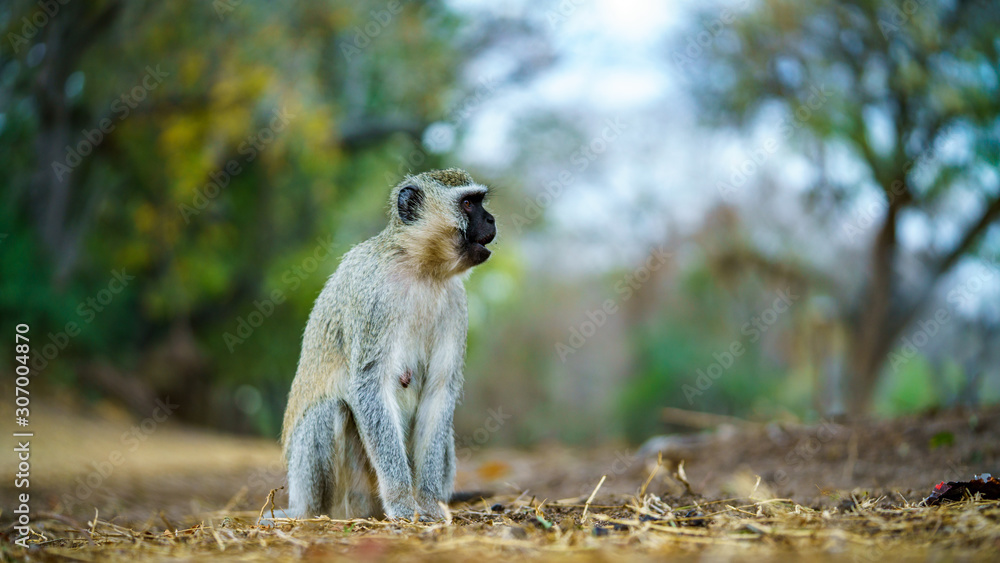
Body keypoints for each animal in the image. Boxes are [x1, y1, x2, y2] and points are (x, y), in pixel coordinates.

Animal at [280, 168, 496, 521]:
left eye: (479, 202)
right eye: (468, 204)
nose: (491, 219)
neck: (421, 269)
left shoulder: (456, 302)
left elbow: (439, 390)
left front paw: (428, 502)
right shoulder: (375, 295)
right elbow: (370, 386)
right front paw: (402, 502)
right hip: (321, 485)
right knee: (329, 409)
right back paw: (312, 514)